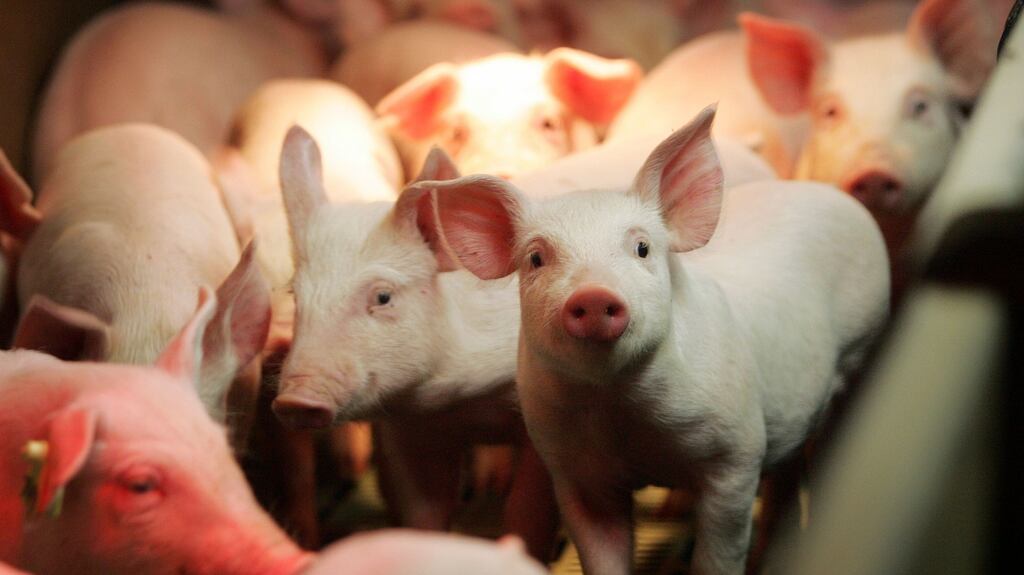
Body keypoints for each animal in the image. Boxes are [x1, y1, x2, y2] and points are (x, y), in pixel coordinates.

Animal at [416, 106, 890, 574]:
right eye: (535, 258)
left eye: (642, 248)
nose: (593, 295)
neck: (620, 411)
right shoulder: (575, 473)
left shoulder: (737, 454)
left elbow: (719, 555)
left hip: (862, 345)